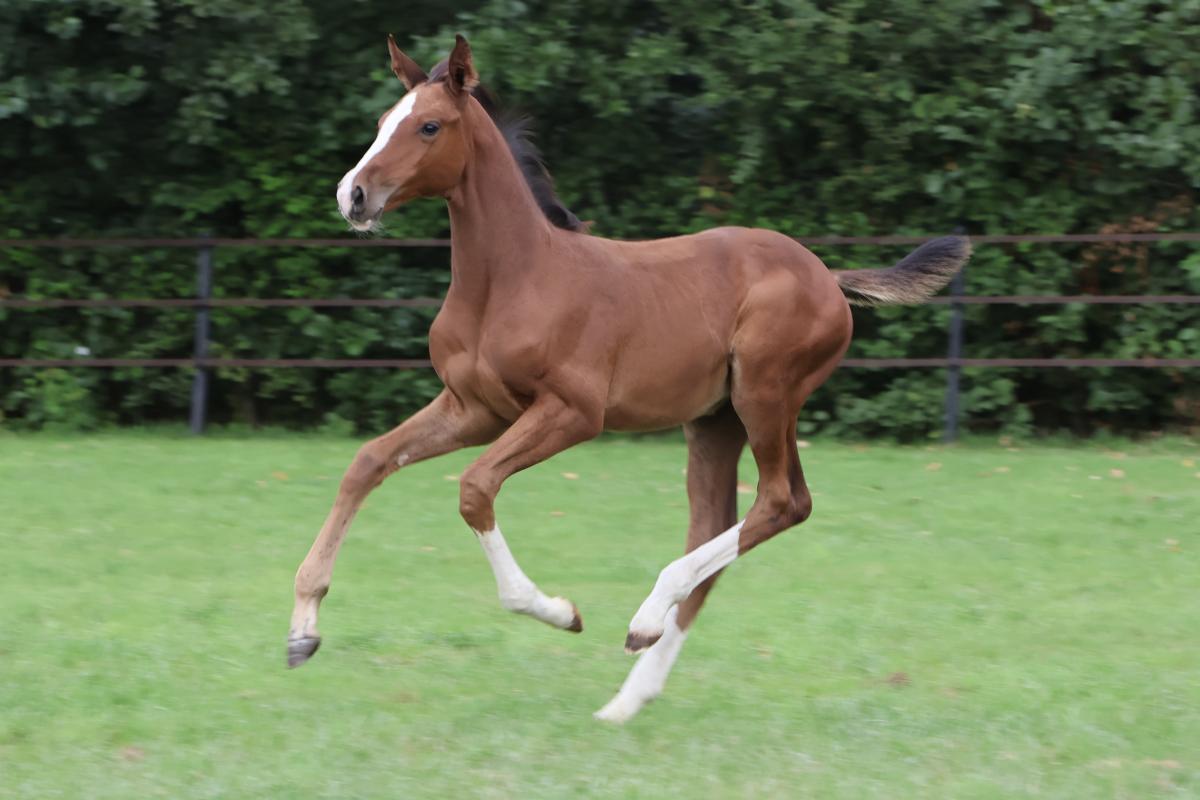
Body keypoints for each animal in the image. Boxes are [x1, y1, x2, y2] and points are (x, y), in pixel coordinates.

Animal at [288, 34, 971, 723]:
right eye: (382, 121)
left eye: (429, 126)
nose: (352, 196)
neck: (512, 278)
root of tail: (827, 277)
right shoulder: (472, 408)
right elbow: (368, 462)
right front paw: (302, 630)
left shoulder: (571, 413)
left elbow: (476, 487)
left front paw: (558, 612)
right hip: (715, 421)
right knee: (720, 528)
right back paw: (627, 698)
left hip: (766, 395)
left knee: (783, 502)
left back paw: (644, 619)